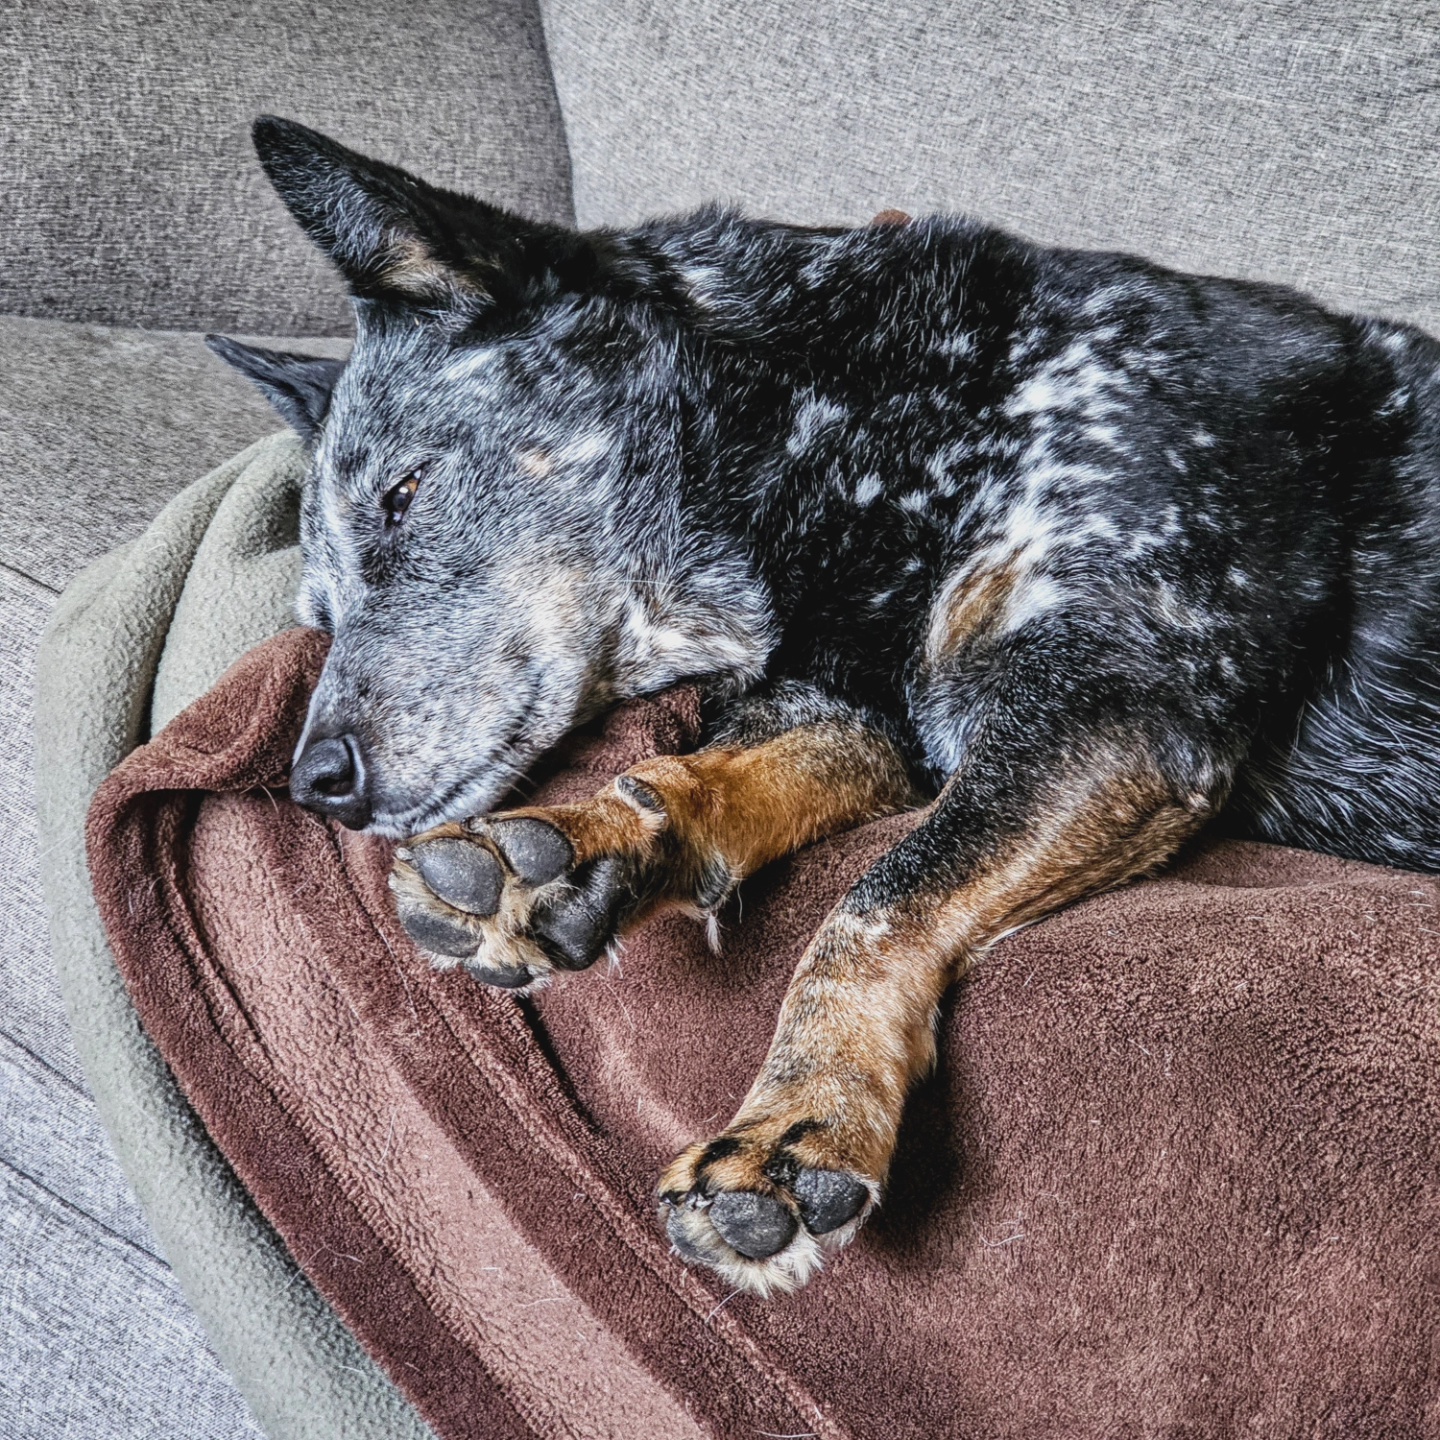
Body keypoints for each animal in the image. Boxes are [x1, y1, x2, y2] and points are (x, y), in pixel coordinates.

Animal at [212, 117, 1440, 1296]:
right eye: (318, 613)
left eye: (407, 492)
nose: (314, 785)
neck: (860, 421)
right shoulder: (866, 712)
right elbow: (694, 776)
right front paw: (575, 846)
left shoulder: (1115, 707)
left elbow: (873, 904)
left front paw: (799, 1120)